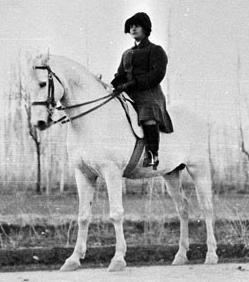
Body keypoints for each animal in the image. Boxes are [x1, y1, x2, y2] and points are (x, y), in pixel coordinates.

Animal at [23, 52, 218, 270]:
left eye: (42, 83)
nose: (39, 123)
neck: (90, 120)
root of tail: (199, 118)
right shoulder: (83, 174)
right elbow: (83, 216)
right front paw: (73, 260)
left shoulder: (112, 173)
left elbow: (116, 213)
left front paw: (117, 259)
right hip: (171, 173)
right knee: (183, 208)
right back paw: (180, 256)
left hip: (198, 169)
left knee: (207, 207)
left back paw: (211, 255)